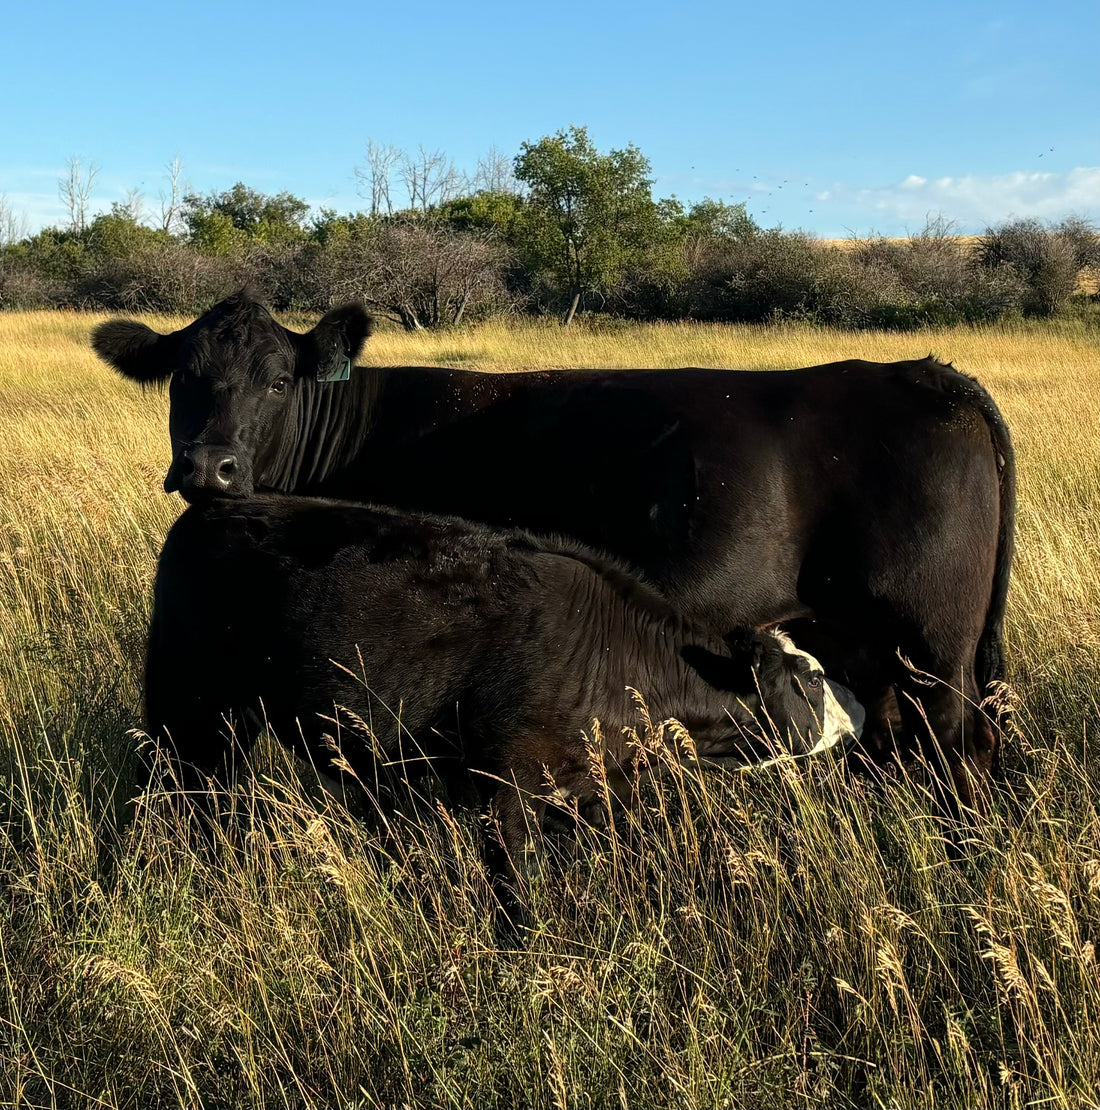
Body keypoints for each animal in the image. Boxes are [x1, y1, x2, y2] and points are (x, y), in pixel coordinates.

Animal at [94, 290, 1015, 805]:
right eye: (181, 379)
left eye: (279, 380)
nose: (209, 467)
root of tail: (927, 372)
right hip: (857, 641)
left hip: (933, 649)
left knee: (957, 749)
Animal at [145, 496, 865, 883]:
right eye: (809, 678)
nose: (858, 712)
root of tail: (216, 506)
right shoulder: (505, 794)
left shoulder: (585, 797)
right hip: (186, 710)